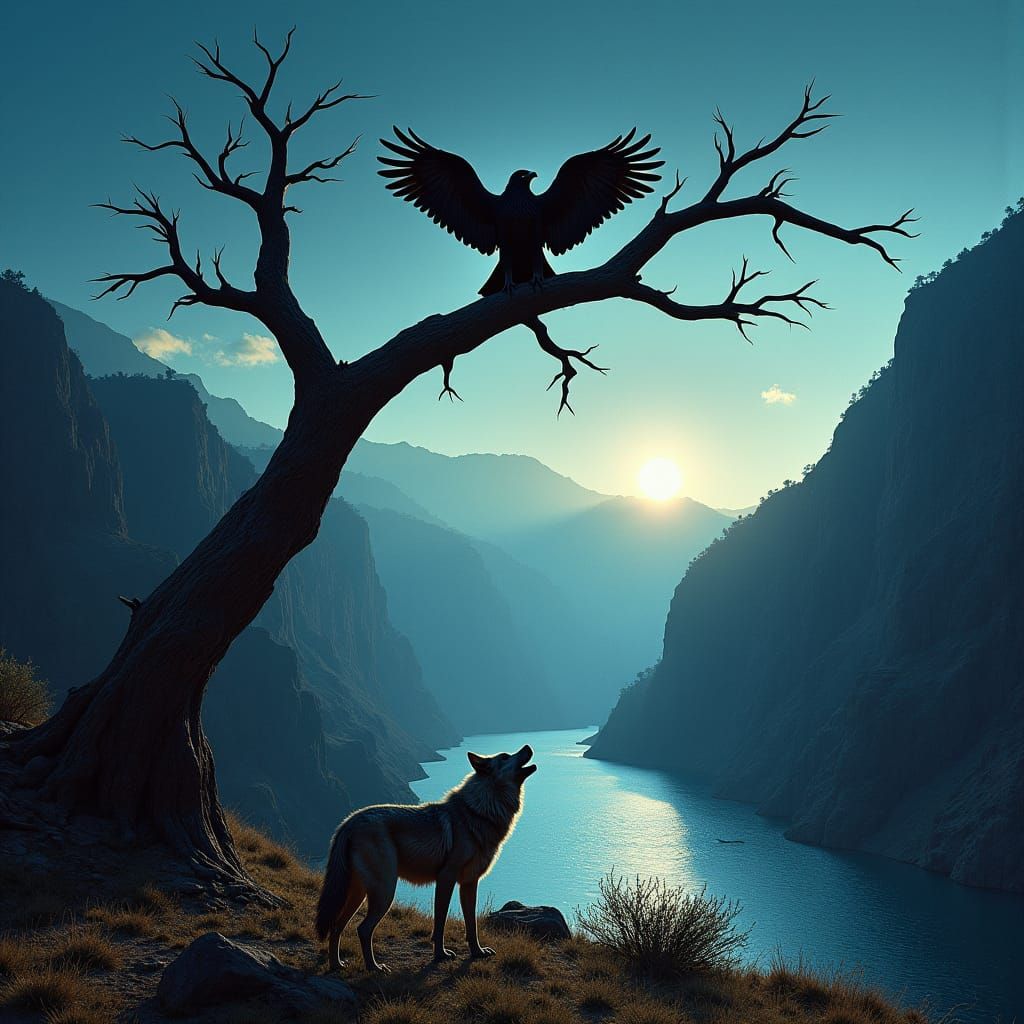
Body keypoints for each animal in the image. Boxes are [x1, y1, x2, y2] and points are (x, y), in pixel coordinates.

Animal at [315, 743, 536, 973]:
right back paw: (374, 967)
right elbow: (440, 923)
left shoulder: (469, 883)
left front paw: (477, 952)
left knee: (336, 926)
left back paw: (337, 965)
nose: (528, 746)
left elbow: (471, 925)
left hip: (359, 895)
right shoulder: (446, 878)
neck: (480, 812)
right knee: (362, 929)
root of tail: (349, 821)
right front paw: (440, 955)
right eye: (505, 756)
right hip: (384, 893)